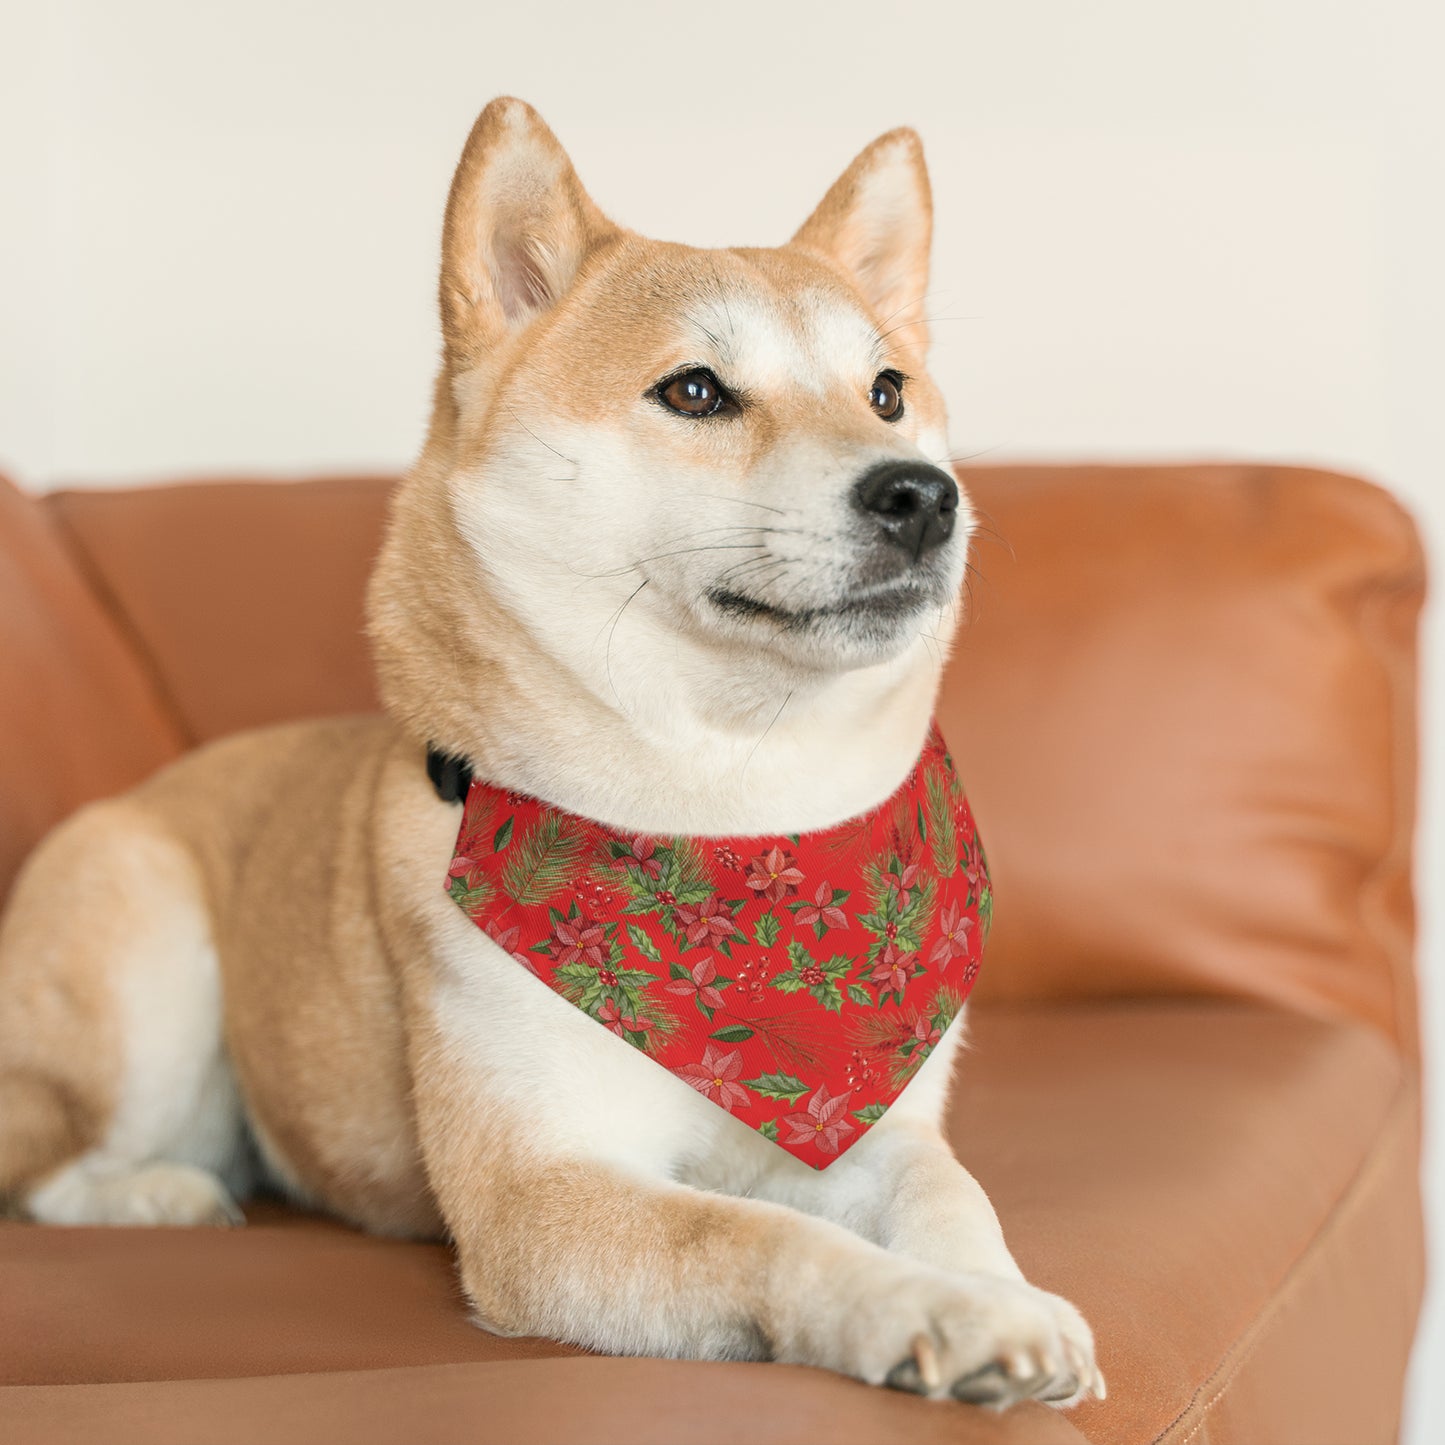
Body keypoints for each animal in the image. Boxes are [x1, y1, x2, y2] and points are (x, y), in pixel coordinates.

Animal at [0, 96, 1098, 1404]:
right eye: (694, 390)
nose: (923, 495)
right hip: (145, 962)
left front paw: (1003, 1293)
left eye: (886, 390)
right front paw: (930, 1309)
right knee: (48, 1165)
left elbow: (950, 1195)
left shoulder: (881, 1127)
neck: (732, 819)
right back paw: (162, 1192)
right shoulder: (540, 1194)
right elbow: (765, 1234)